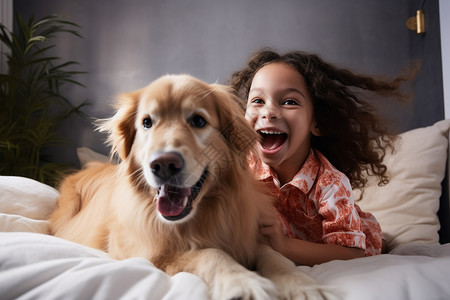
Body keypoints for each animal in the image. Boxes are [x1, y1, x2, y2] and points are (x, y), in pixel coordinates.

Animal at [50, 74, 330, 298]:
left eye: (198, 121)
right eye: (147, 122)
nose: (163, 164)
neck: (199, 217)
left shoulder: (247, 236)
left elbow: (277, 257)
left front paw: (303, 286)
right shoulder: (149, 253)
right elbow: (210, 254)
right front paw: (243, 282)